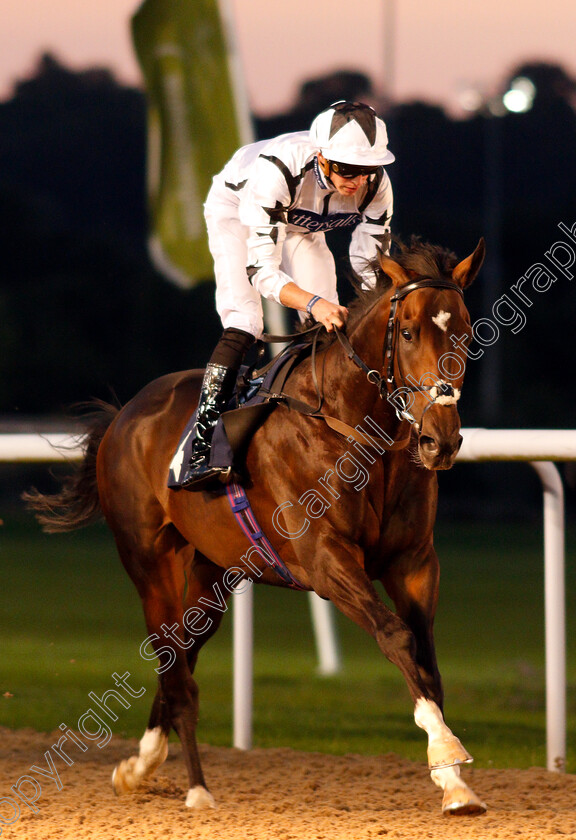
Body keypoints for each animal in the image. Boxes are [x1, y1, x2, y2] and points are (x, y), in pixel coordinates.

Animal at [25, 235, 486, 812]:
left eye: (464, 330)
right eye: (407, 332)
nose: (439, 440)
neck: (356, 430)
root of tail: (124, 415)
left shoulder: (414, 563)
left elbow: (428, 663)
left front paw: (455, 783)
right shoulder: (325, 560)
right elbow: (397, 637)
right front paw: (446, 750)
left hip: (213, 570)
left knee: (183, 651)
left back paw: (139, 766)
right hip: (149, 561)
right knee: (174, 666)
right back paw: (197, 788)